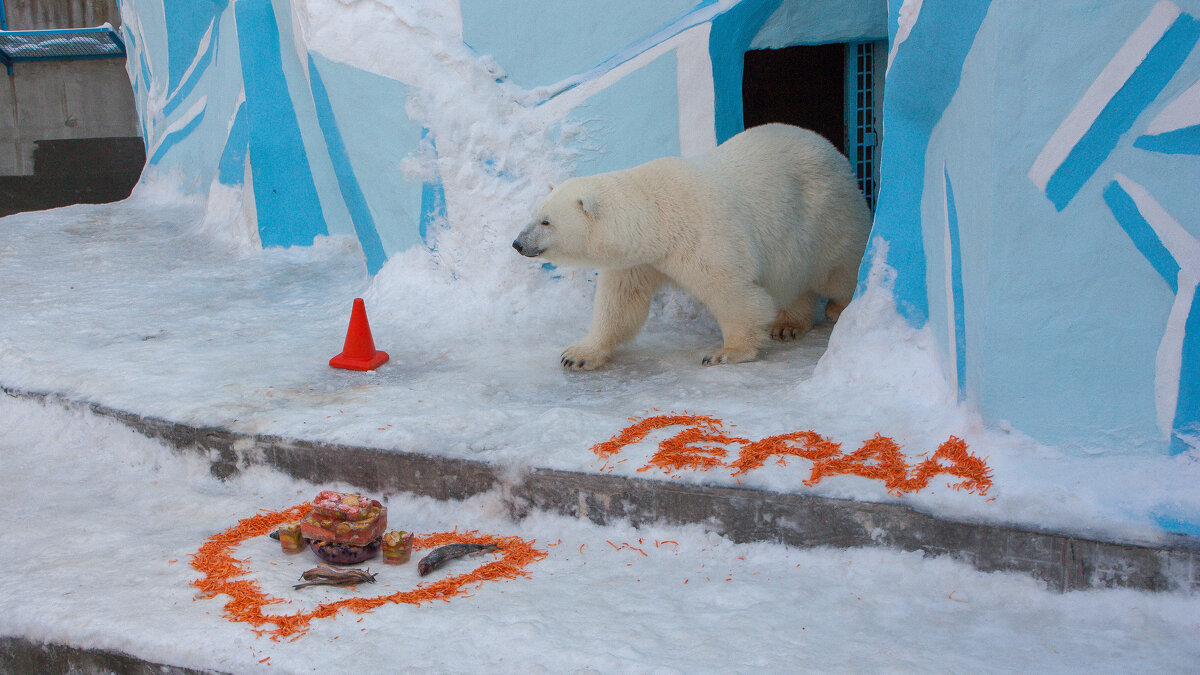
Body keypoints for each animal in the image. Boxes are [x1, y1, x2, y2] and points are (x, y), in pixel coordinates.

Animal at [511, 120, 868, 367]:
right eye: (534, 214)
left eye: (546, 221)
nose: (517, 243)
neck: (656, 216)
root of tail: (832, 150)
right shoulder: (639, 259)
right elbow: (620, 304)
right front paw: (578, 353)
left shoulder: (702, 236)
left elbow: (733, 292)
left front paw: (725, 352)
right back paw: (788, 325)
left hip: (826, 214)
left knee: (840, 268)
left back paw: (839, 306)